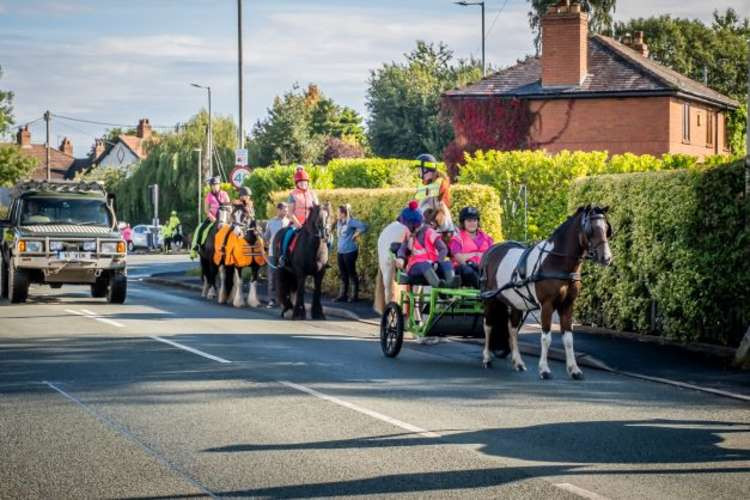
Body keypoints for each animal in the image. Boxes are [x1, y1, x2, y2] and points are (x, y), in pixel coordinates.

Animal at [478, 205, 612, 380]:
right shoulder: (547, 305)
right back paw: (487, 358)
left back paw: (518, 362)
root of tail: (491, 250)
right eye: (591, 229)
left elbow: (568, 339)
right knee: (488, 326)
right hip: (490, 299)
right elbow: (546, 338)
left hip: (515, 303)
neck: (556, 262)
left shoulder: (567, 305)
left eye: (607, 229)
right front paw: (544, 369)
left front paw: (574, 370)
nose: (607, 258)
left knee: (512, 329)